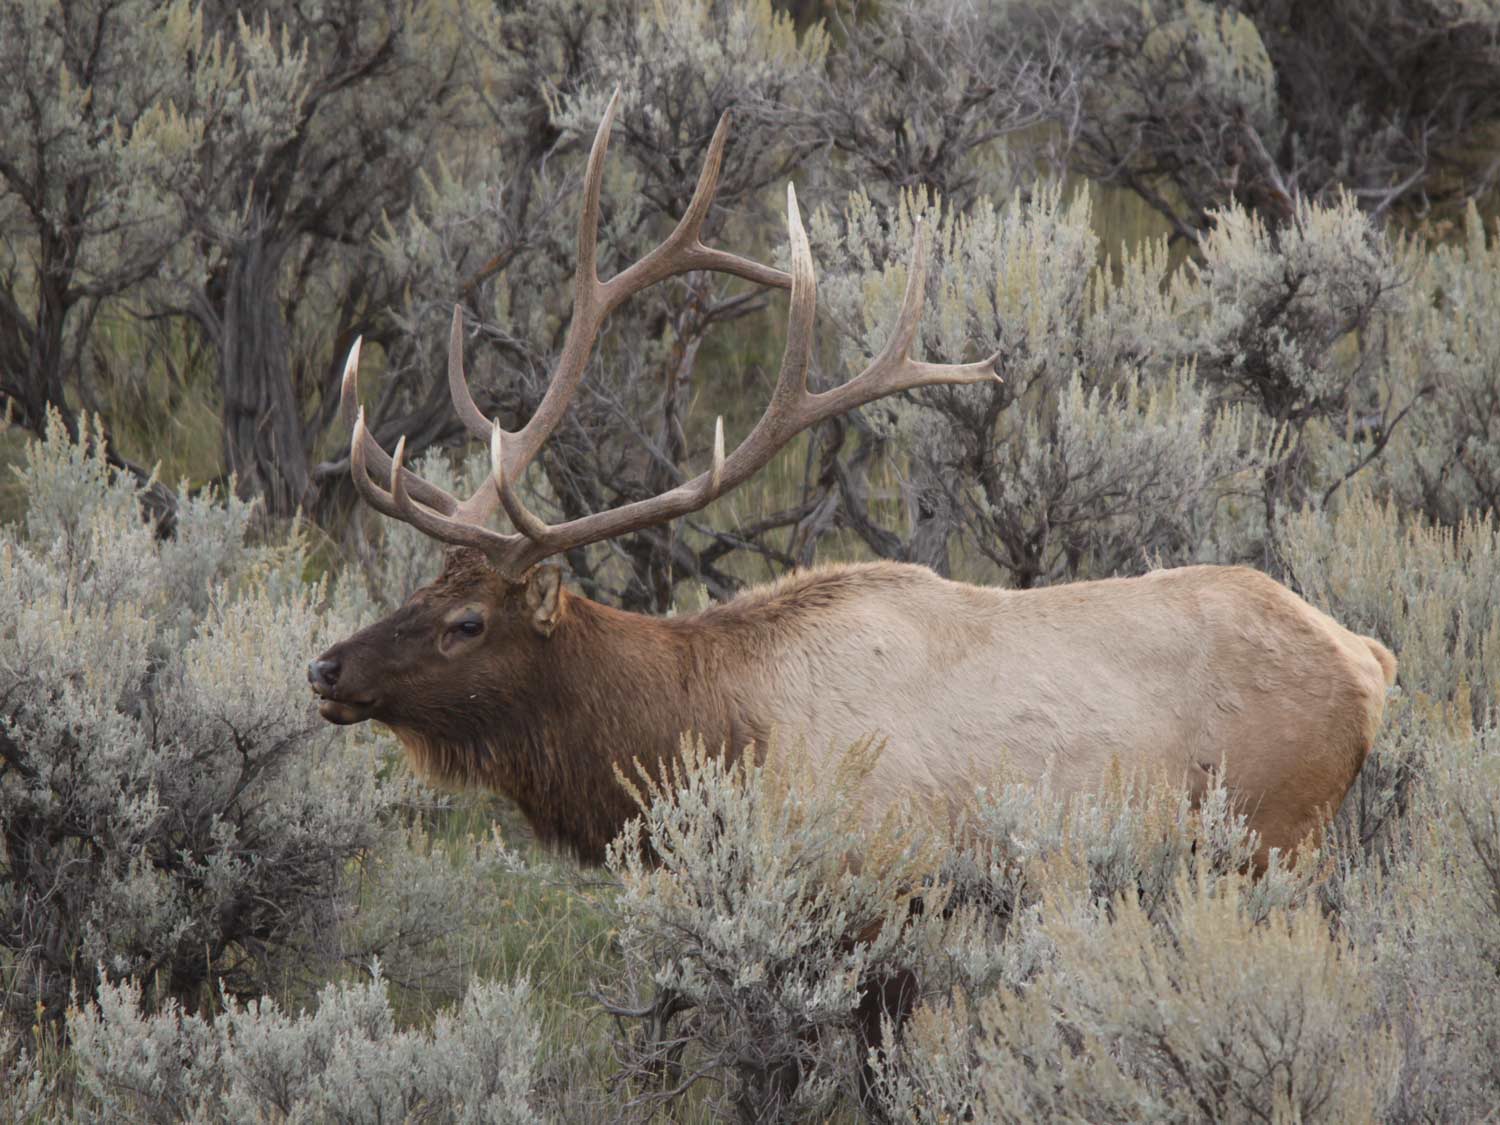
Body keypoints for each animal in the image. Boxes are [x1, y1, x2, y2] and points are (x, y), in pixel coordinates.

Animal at [310, 96, 1398, 870]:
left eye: (467, 623)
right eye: (423, 588)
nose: (325, 667)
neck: (717, 733)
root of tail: (1369, 660)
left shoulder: (882, 877)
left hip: (1271, 834)